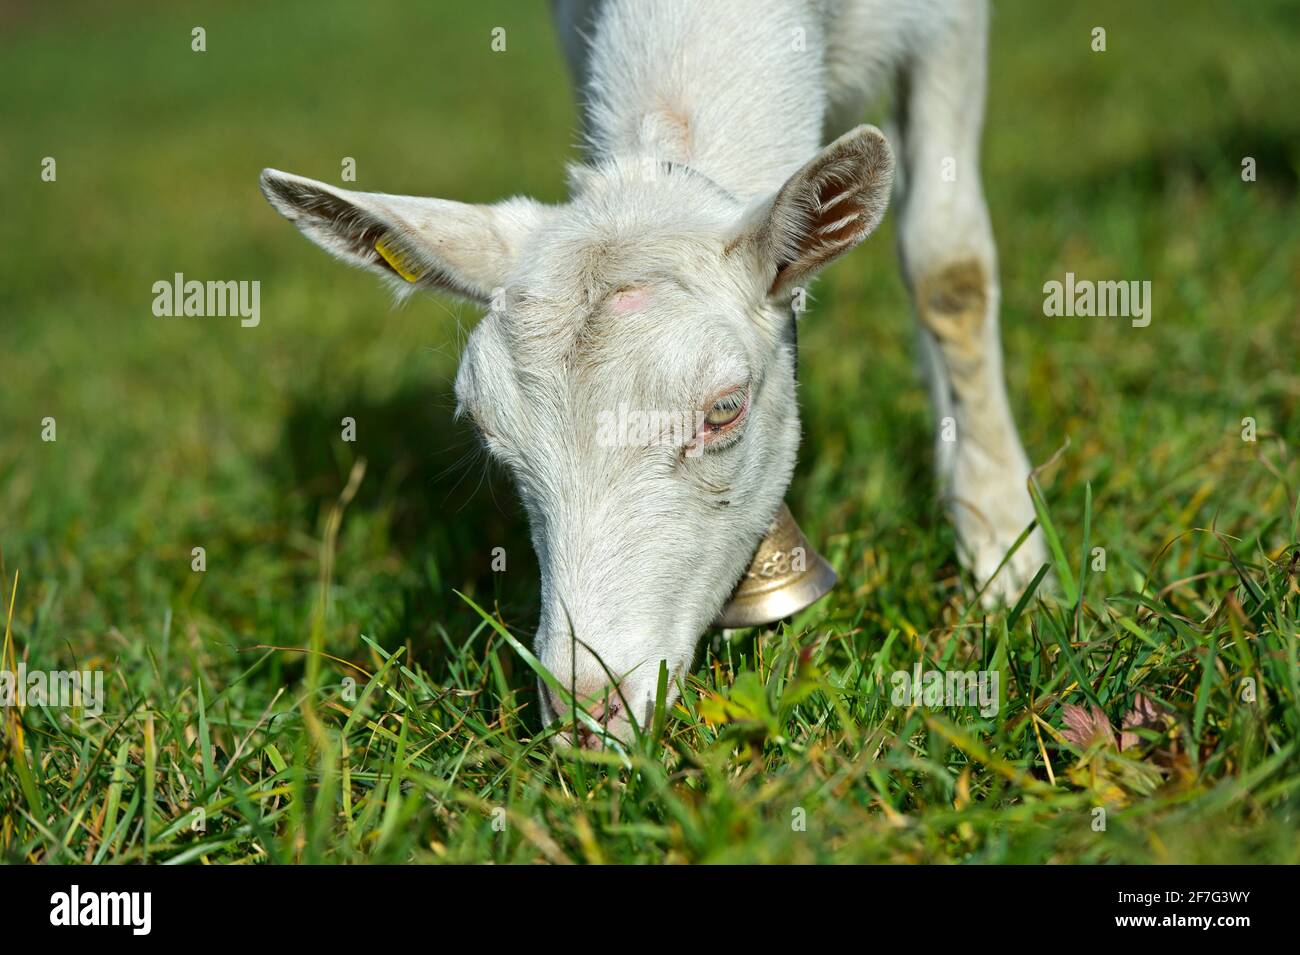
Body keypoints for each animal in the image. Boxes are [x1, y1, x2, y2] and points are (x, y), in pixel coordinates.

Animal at [261, 0, 1045, 748]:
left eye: (725, 409)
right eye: (487, 432)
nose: (587, 709)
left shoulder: (951, 26)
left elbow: (949, 268)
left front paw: (1006, 554)